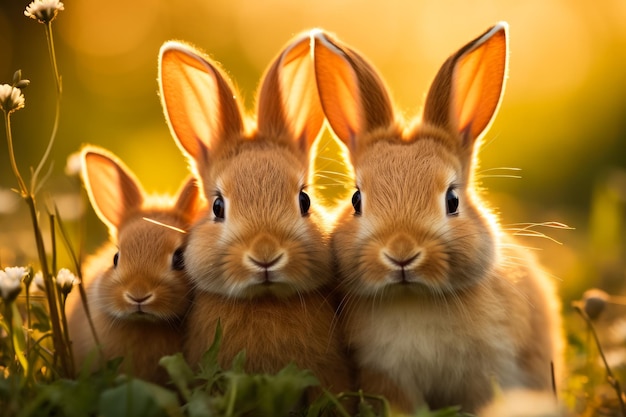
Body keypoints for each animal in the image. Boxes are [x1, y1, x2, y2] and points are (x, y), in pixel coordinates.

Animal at [310, 21, 564, 412]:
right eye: (356, 200)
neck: (415, 296)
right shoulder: (387, 374)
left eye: (452, 200)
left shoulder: (486, 373)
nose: (401, 254)